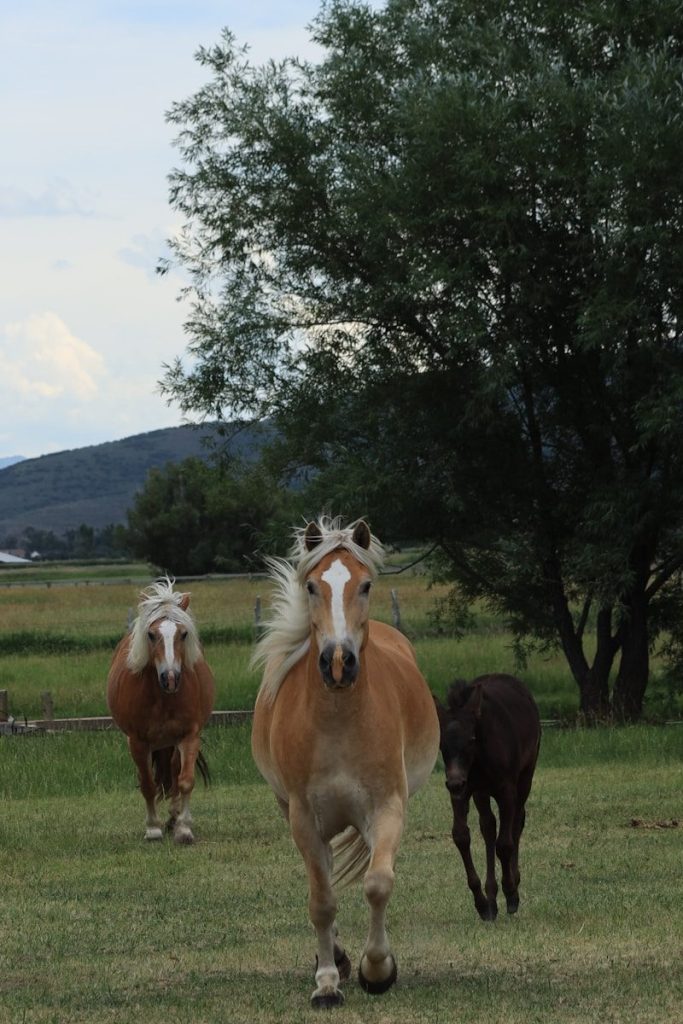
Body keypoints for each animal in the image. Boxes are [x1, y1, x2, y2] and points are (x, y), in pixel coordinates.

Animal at [107, 577, 215, 844]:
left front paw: (184, 829)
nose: (170, 678)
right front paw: (153, 828)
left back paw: (174, 819)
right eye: (151, 634)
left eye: (183, 634)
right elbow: (147, 784)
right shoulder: (137, 741)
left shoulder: (190, 736)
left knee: (175, 772)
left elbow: (185, 781)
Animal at [251, 517, 440, 1009]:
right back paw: (334, 958)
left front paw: (379, 970)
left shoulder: (388, 807)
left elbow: (377, 883)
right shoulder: (304, 817)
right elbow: (322, 899)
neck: (339, 725)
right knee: (326, 879)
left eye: (366, 584)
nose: (339, 662)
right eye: (312, 586)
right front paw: (326, 982)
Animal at [434, 674, 541, 920]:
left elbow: (505, 843)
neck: (479, 760)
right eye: (442, 743)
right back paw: (491, 896)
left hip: (525, 777)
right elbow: (461, 836)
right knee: (488, 827)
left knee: (516, 823)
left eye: (471, 738)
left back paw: (513, 885)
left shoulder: (506, 790)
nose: (454, 783)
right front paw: (482, 904)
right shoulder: (465, 790)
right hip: (481, 793)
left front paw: (511, 895)